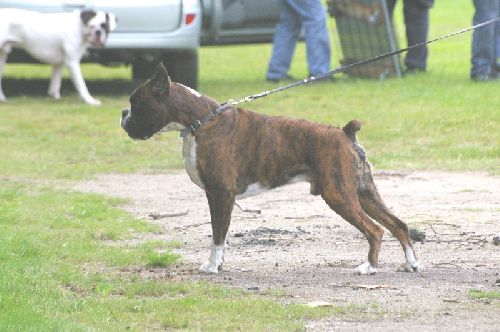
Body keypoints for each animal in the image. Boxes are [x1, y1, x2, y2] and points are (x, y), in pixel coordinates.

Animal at [122, 63, 422, 274]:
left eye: (135, 103)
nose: (123, 116)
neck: (200, 121)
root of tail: (345, 133)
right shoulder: (217, 196)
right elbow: (222, 233)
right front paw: (219, 263)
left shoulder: (221, 193)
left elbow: (217, 234)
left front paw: (212, 267)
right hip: (363, 192)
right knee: (398, 224)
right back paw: (411, 264)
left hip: (338, 195)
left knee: (375, 230)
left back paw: (369, 267)